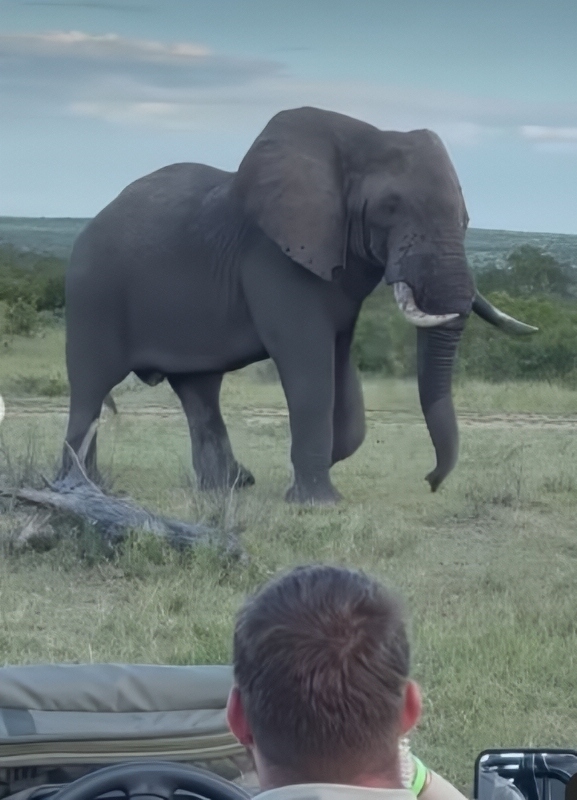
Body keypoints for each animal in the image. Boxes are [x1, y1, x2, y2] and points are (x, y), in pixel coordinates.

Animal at [61, 106, 536, 504]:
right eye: (390, 207)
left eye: (467, 218)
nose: (431, 482)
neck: (361, 138)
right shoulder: (275, 260)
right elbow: (308, 366)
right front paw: (317, 502)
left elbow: (340, 367)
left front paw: (321, 464)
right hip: (92, 294)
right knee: (91, 387)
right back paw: (82, 488)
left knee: (199, 390)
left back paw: (231, 485)